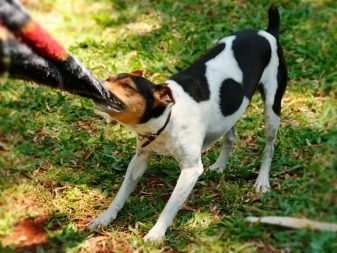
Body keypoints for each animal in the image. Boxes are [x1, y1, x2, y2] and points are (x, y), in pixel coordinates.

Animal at [87, 4, 286, 240]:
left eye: (127, 86)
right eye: (109, 79)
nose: (96, 82)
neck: (167, 117)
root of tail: (267, 32)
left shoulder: (190, 170)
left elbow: (170, 207)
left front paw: (156, 234)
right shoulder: (139, 159)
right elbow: (120, 195)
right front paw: (105, 218)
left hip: (272, 108)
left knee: (269, 147)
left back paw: (262, 181)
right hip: (229, 110)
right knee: (230, 135)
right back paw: (220, 165)